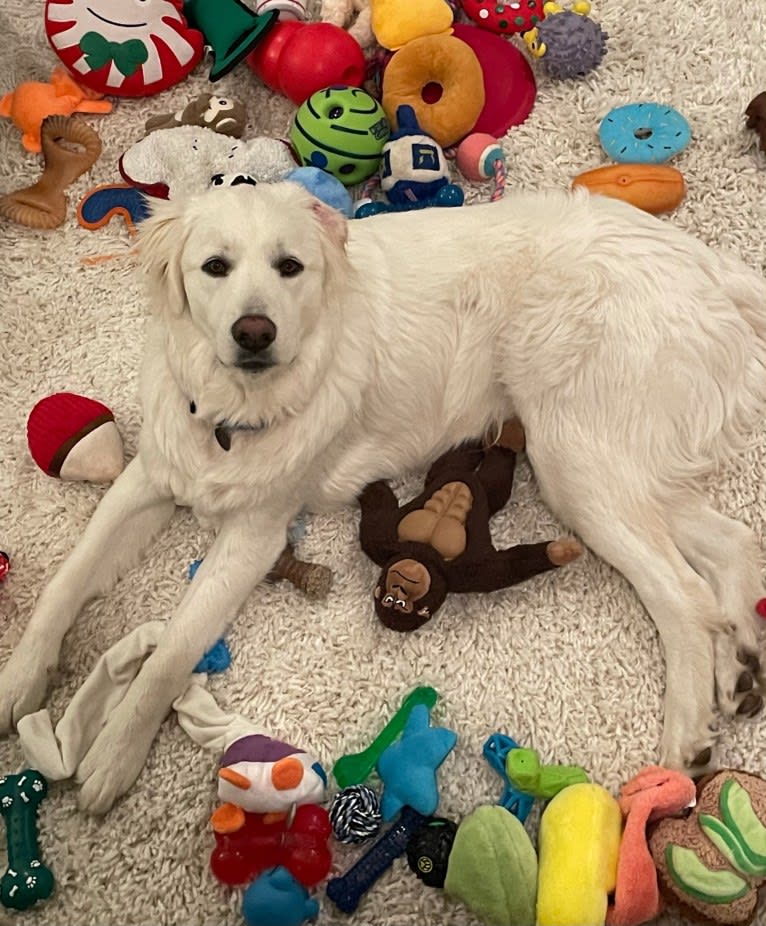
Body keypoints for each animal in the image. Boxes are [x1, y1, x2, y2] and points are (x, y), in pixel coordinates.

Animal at [3, 183, 764, 812]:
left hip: (573, 456)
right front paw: (19, 679)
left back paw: (685, 743)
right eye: (214, 267)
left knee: (684, 598)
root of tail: (703, 261)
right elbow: (67, 581)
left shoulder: (255, 534)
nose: (255, 332)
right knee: (731, 544)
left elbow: (171, 652)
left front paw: (113, 756)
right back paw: (740, 672)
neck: (234, 406)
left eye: (289, 267)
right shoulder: (149, 477)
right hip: (612, 465)